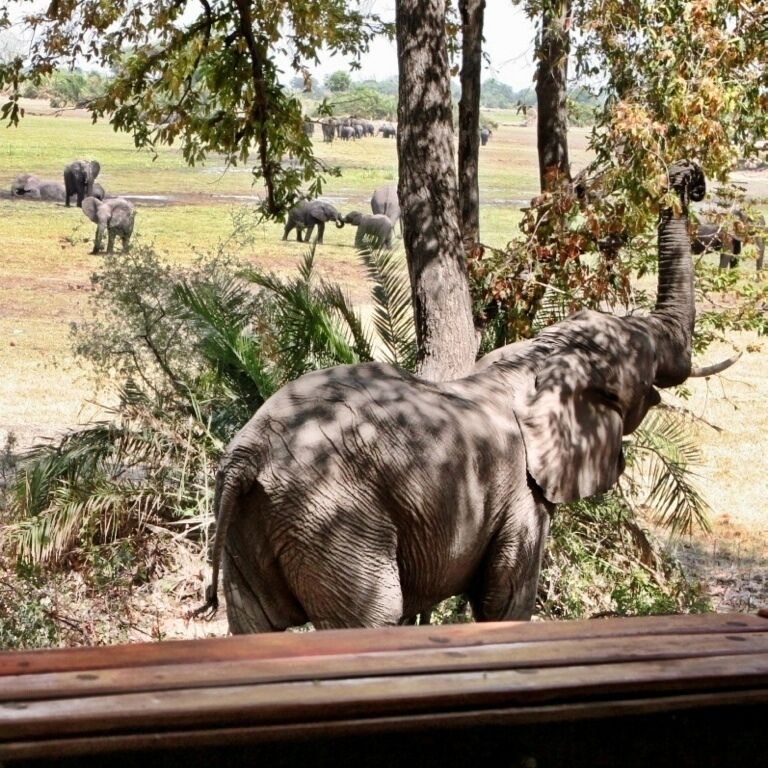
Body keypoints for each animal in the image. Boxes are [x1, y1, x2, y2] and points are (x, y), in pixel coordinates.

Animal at [195, 161, 713, 634]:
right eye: (645, 359)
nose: (688, 178)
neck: (537, 360)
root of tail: (248, 452)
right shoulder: (522, 494)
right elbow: (504, 600)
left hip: (256, 519)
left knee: (252, 623)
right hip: (331, 519)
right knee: (370, 617)